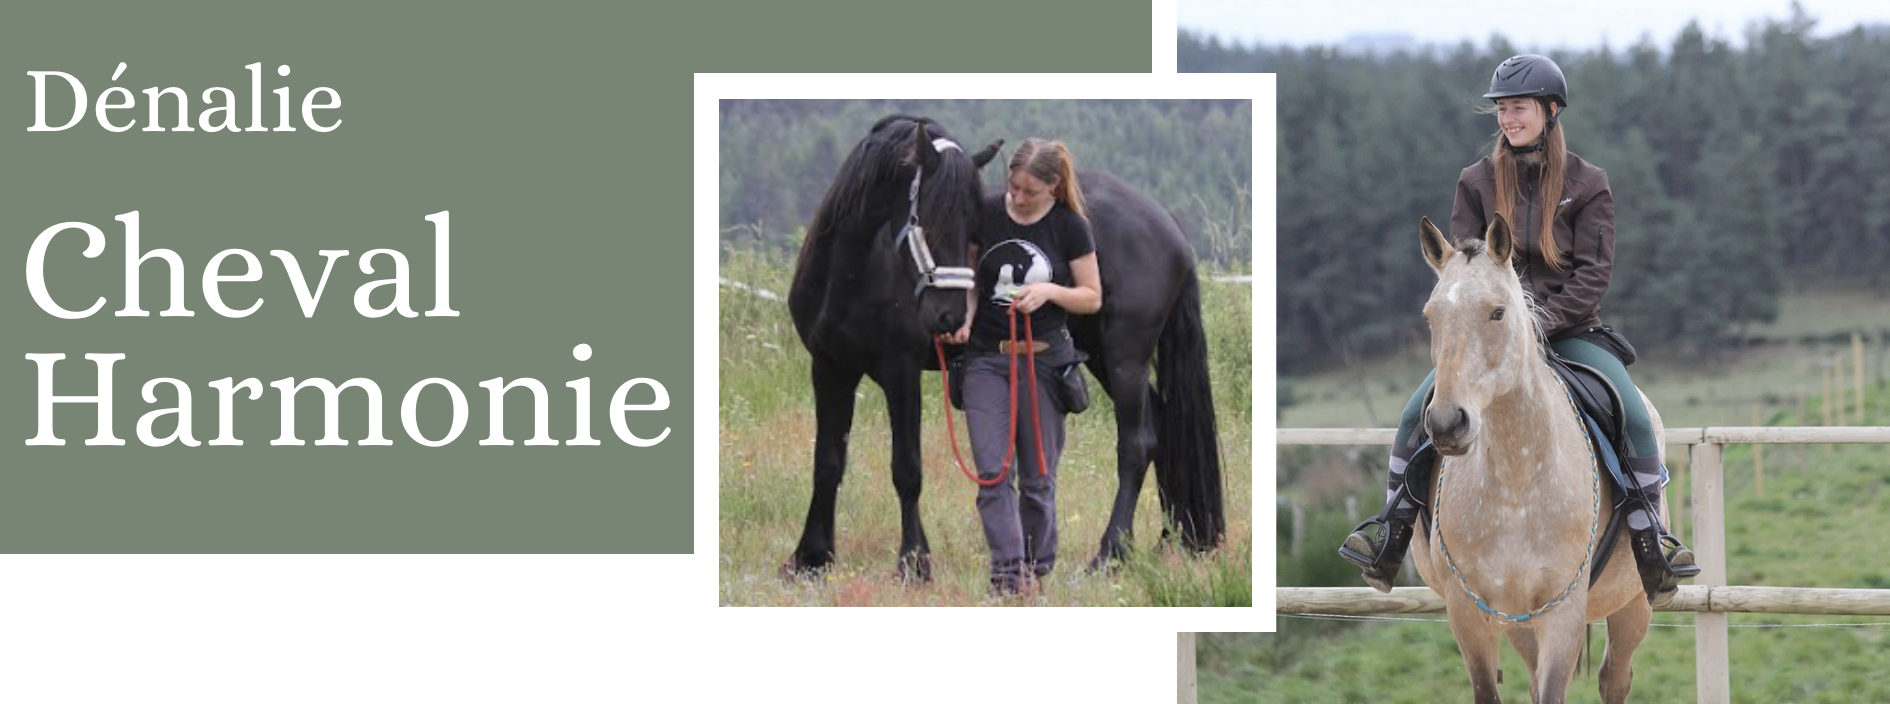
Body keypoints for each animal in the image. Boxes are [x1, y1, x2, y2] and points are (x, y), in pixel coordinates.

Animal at [782, 114, 1225, 581]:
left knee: (1136, 445)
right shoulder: (829, 368)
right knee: (1161, 428)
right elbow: (827, 461)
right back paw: (1166, 539)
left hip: (1126, 360)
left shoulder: (899, 372)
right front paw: (811, 558)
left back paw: (1110, 554)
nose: (949, 317)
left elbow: (906, 467)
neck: (852, 274)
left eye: (973, 222)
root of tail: (1168, 225)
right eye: (931, 217)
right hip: (1105, 358)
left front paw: (914, 563)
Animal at [1408, 213, 1668, 703]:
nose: (1448, 424)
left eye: (1497, 312)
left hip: (1634, 604)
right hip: (1518, 621)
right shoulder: (1469, 614)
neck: (1516, 485)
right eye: (1430, 316)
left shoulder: (1562, 613)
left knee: (1615, 677)